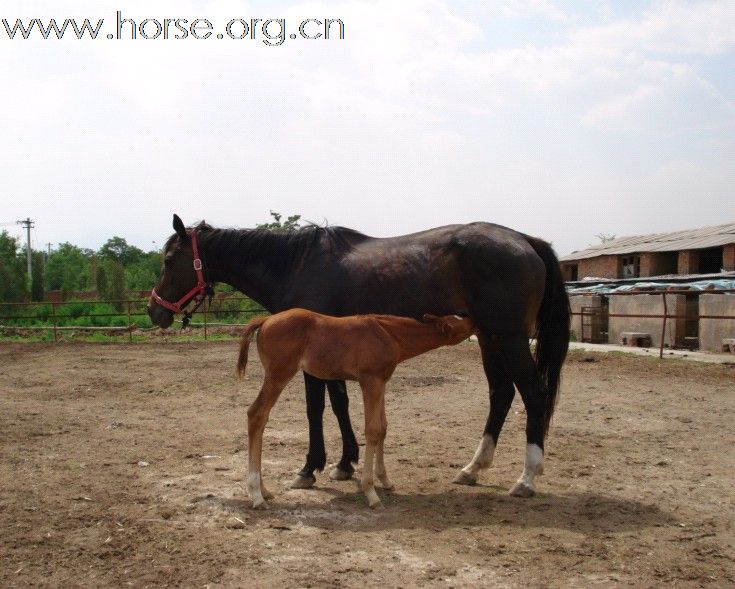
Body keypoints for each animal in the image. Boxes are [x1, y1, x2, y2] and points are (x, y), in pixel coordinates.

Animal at [239, 308, 474, 506]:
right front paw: (370, 492)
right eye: (461, 324)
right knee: (256, 414)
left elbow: (383, 427)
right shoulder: (370, 381)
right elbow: (372, 430)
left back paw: (264, 490)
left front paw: (385, 480)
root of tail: (265, 320)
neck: (389, 334)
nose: (475, 319)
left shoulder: (381, 382)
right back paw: (257, 495)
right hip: (278, 375)